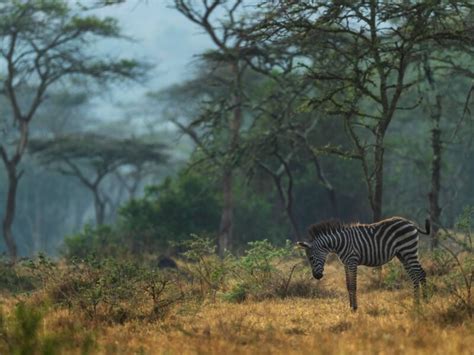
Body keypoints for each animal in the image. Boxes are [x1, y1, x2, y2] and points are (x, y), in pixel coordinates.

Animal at [298, 216, 432, 310]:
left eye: (311, 258)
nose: (317, 276)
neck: (339, 243)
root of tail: (411, 223)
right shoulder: (346, 264)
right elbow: (348, 285)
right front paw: (350, 306)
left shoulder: (352, 261)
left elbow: (353, 285)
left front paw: (355, 307)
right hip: (402, 255)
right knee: (414, 275)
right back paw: (416, 302)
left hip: (409, 250)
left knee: (420, 273)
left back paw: (425, 301)